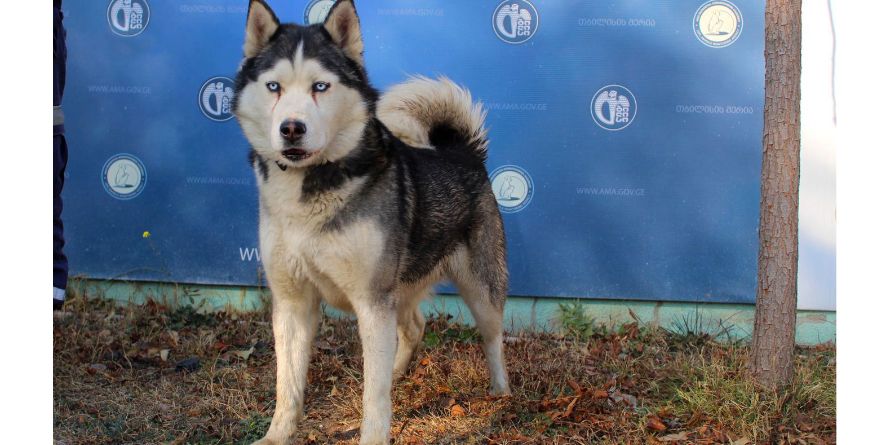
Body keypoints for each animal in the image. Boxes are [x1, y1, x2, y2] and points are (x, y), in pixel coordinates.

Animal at [234, 1, 512, 442]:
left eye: (320, 87)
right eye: (274, 86)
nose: (291, 128)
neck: (309, 192)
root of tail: (461, 152)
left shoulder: (371, 301)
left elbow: (373, 395)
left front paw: (374, 434)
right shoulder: (292, 301)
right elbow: (287, 384)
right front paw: (277, 435)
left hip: (480, 287)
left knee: (494, 338)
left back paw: (501, 394)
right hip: (401, 287)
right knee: (414, 326)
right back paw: (398, 373)